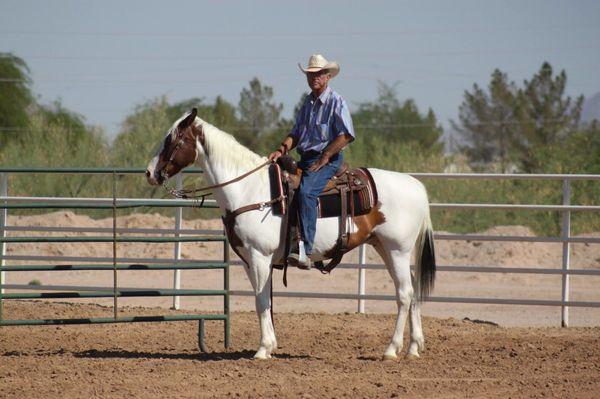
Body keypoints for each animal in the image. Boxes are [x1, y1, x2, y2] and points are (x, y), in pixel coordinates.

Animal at [145, 109, 436, 362]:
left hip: (397, 250)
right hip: (384, 247)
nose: (149, 173)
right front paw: (271, 345)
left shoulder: (260, 256)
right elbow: (263, 300)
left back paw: (391, 349)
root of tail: (418, 186)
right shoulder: (249, 260)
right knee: (412, 291)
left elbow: (261, 301)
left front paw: (263, 349)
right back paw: (413, 348)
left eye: (172, 139)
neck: (250, 190)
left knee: (404, 293)